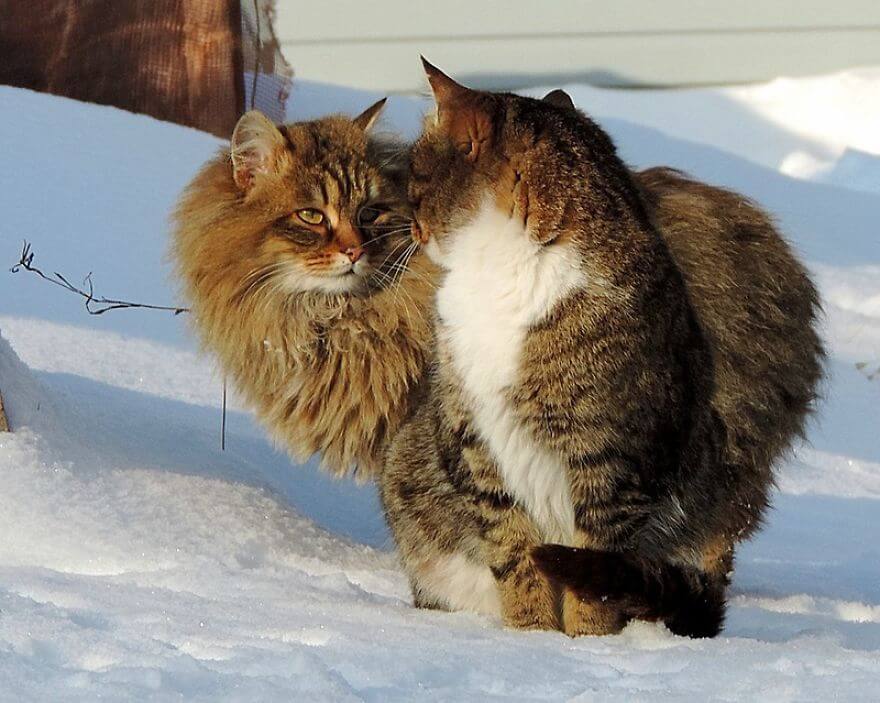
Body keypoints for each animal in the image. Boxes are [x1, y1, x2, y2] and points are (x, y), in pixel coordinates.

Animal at [380, 62, 824, 640]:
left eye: (415, 181)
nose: (407, 227)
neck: (503, 277)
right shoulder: (475, 440)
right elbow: (515, 556)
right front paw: (527, 638)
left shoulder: (612, 459)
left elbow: (595, 569)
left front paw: (588, 644)